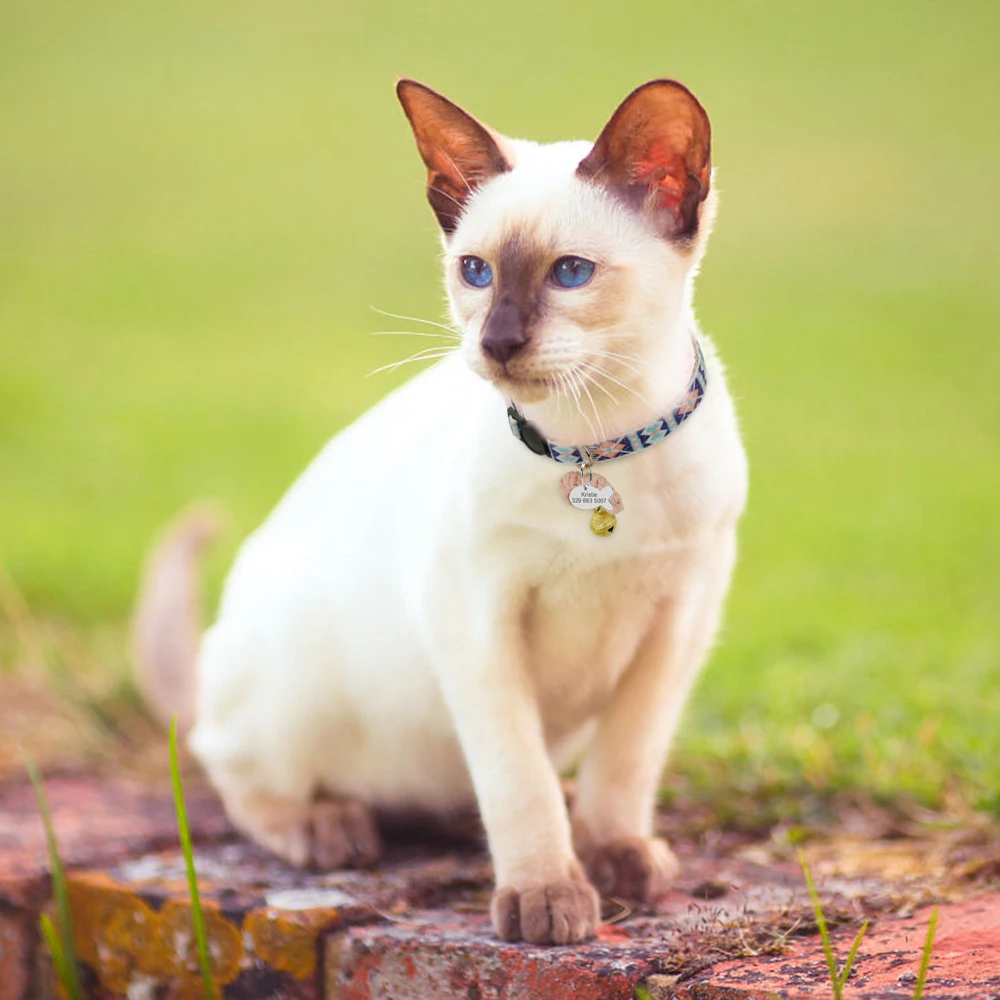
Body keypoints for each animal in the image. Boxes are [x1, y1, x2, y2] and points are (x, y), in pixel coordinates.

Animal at [134, 77, 748, 946]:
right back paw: (326, 828)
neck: (596, 447)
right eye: (476, 272)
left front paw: (614, 857)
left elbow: (625, 762)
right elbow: (516, 777)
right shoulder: (477, 620)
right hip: (292, 672)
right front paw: (547, 897)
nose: (498, 343)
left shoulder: (681, 619)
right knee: (226, 763)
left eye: (570, 273)